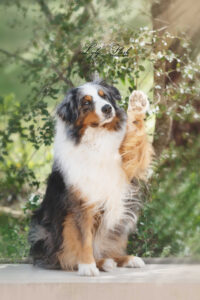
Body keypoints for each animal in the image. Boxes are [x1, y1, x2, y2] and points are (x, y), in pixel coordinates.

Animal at [28, 79, 153, 276]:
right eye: (85, 103)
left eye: (104, 96)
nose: (108, 108)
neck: (98, 135)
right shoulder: (81, 200)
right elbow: (84, 237)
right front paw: (87, 266)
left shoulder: (128, 163)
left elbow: (135, 138)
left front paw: (137, 105)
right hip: (55, 227)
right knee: (66, 258)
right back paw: (100, 263)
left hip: (118, 223)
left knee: (108, 247)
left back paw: (124, 259)